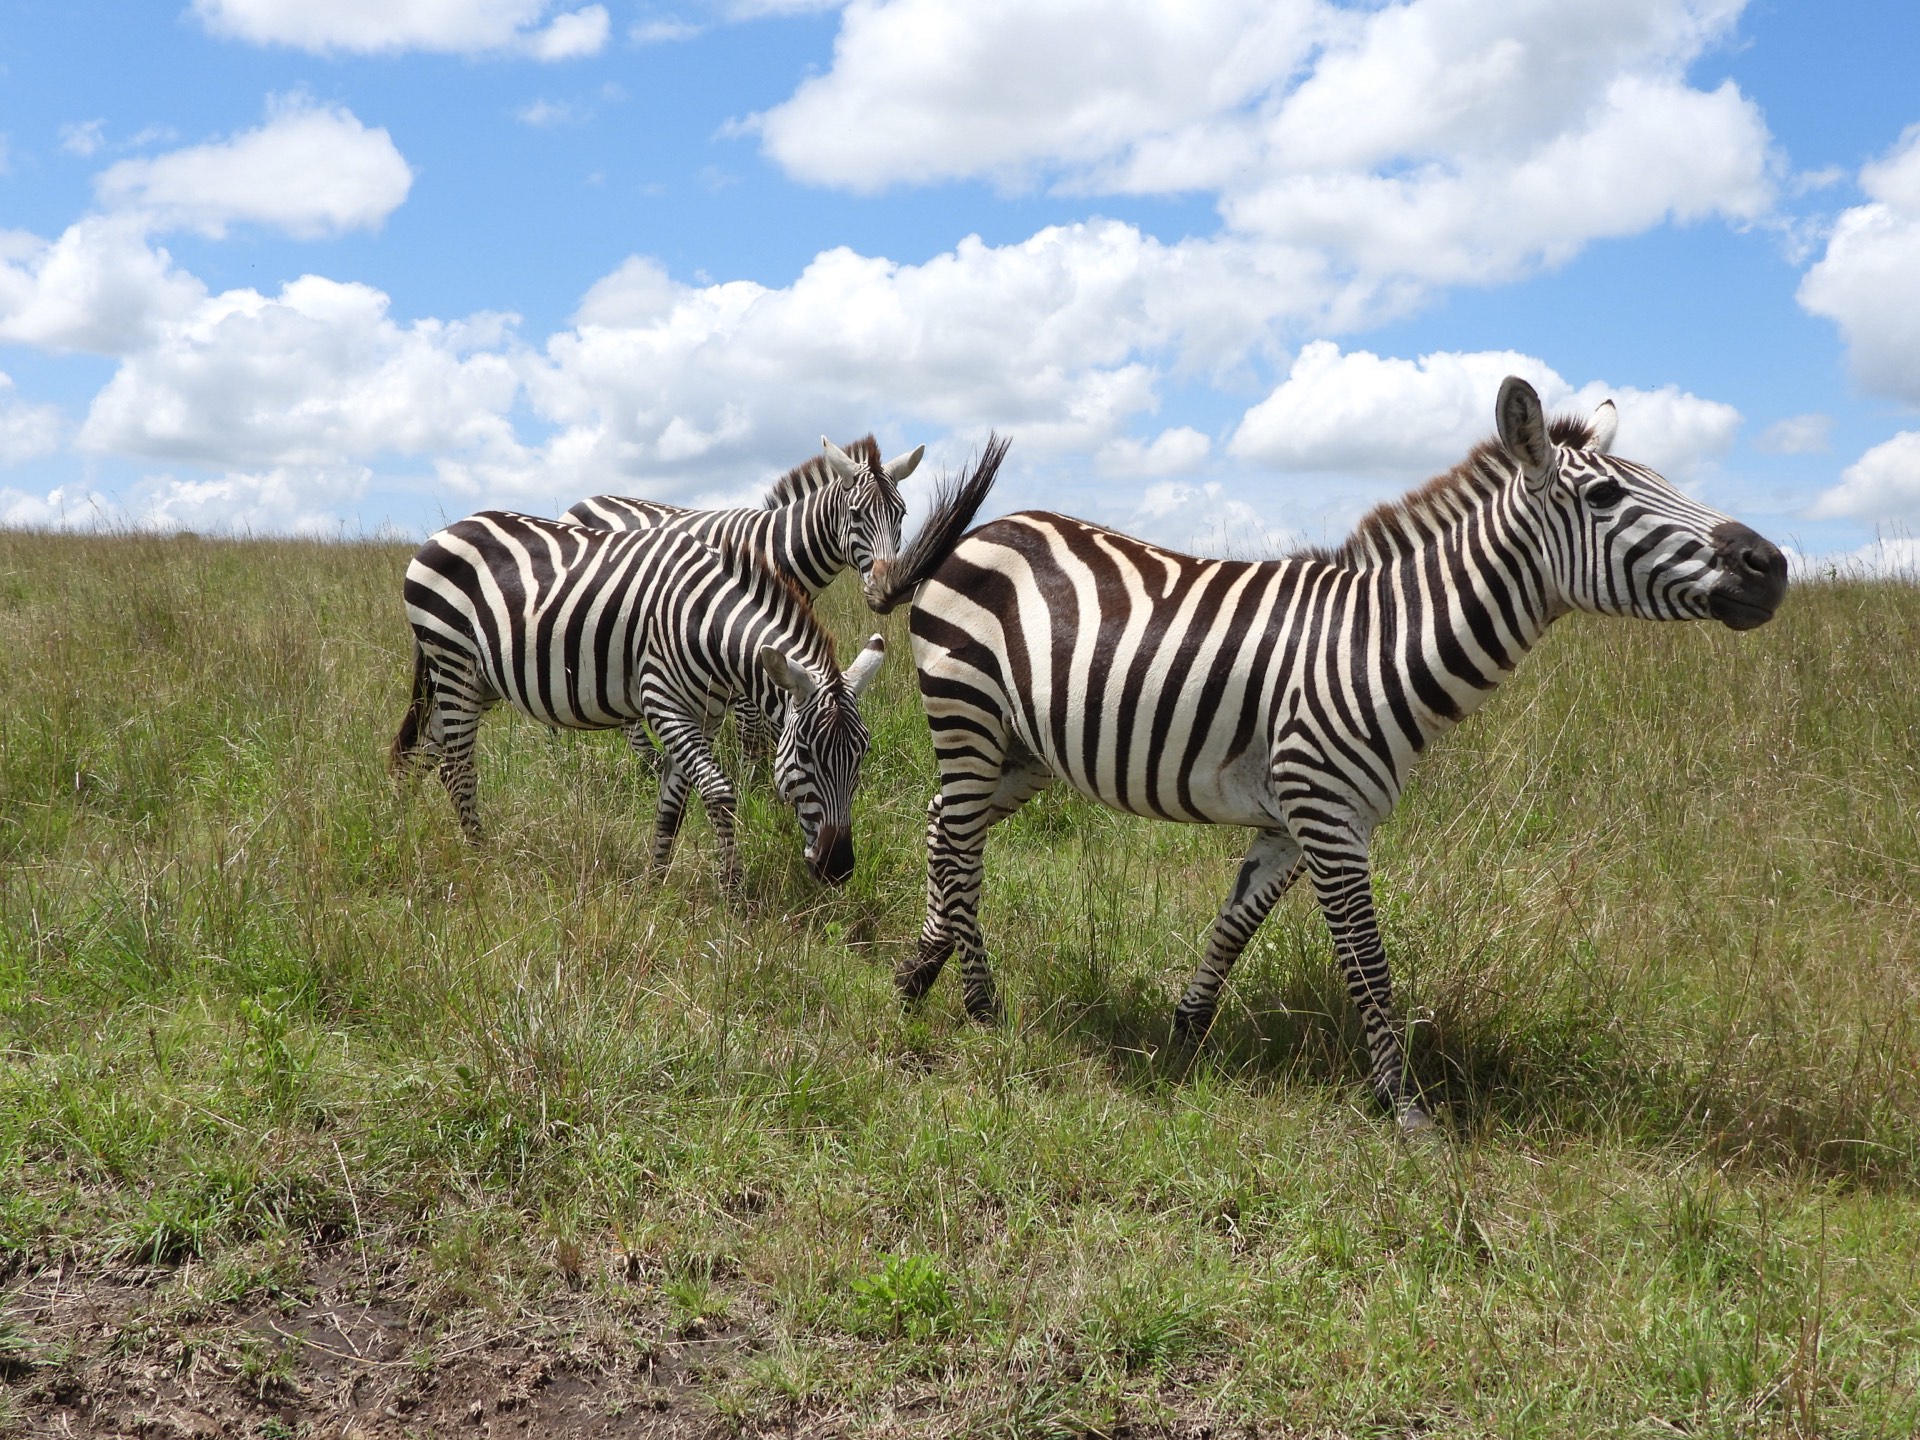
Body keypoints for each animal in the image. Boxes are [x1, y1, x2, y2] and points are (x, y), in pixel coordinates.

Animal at [391, 511, 886, 888]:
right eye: (804, 754)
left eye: (862, 755)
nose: (838, 869)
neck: (705, 626)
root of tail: (446, 530)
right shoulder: (663, 702)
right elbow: (718, 792)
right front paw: (733, 893)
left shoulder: (704, 716)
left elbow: (672, 805)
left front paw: (655, 882)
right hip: (452, 661)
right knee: (458, 768)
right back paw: (480, 856)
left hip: (477, 681)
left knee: (420, 758)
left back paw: (400, 829)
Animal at [566, 435, 925, 758]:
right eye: (856, 514)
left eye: (902, 514)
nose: (886, 590)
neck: (776, 549)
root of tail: (583, 502)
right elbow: (751, 727)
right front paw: (754, 777)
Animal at [865, 379, 1788, 1134]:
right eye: (1603, 495)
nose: (1772, 564)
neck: (1381, 645)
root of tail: (987, 530)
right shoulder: (1331, 816)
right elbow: (1369, 966)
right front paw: (1406, 1112)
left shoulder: (1293, 822)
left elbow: (1233, 927)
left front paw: (1183, 1040)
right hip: (967, 712)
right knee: (959, 843)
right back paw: (975, 1003)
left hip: (1022, 750)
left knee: (943, 825)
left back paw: (923, 972)